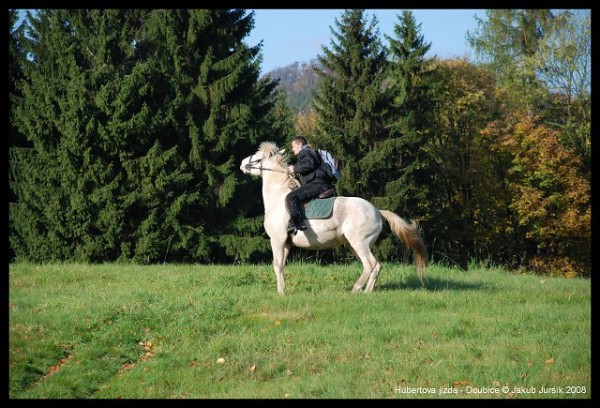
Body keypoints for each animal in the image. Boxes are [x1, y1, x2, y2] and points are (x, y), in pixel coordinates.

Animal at [239, 142, 426, 294]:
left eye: (257, 159)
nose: (241, 164)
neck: (278, 198)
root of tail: (376, 210)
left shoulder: (277, 239)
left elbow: (277, 265)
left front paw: (281, 293)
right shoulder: (285, 243)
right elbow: (281, 266)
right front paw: (282, 290)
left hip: (359, 243)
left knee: (369, 264)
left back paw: (356, 289)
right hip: (354, 244)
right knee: (376, 266)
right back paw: (366, 292)